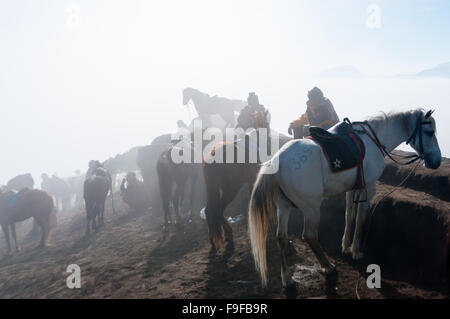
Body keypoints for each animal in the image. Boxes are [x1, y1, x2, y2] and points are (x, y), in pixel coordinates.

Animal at [250, 109, 442, 290]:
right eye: (430, 132)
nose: (437, 161)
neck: (374, 139)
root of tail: (277, 160)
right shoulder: (369, 187)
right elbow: (361, 218)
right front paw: (356, 250)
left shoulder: (353, 189)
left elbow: (349, 216)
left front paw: (345, 246)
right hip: (311, 208)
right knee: (309, 235)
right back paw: (327, 266)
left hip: (283, 206)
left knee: (281, 237)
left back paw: (287, 278)